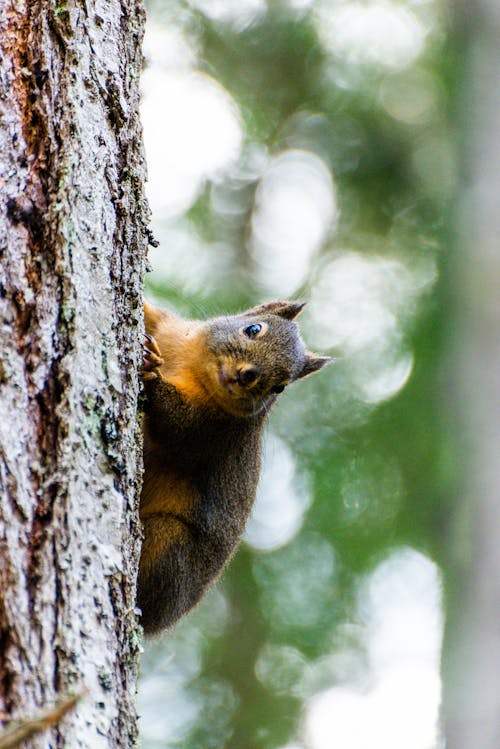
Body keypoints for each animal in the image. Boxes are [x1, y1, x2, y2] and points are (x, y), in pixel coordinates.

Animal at [139, 298, 330, 632]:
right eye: (252, 329)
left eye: (280, 387)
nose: (247, 375)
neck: (193, 365)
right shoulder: (171, 330)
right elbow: (152, 315)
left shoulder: (214, 429)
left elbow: (174, 425)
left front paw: (152, 375)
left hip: (168, 546)